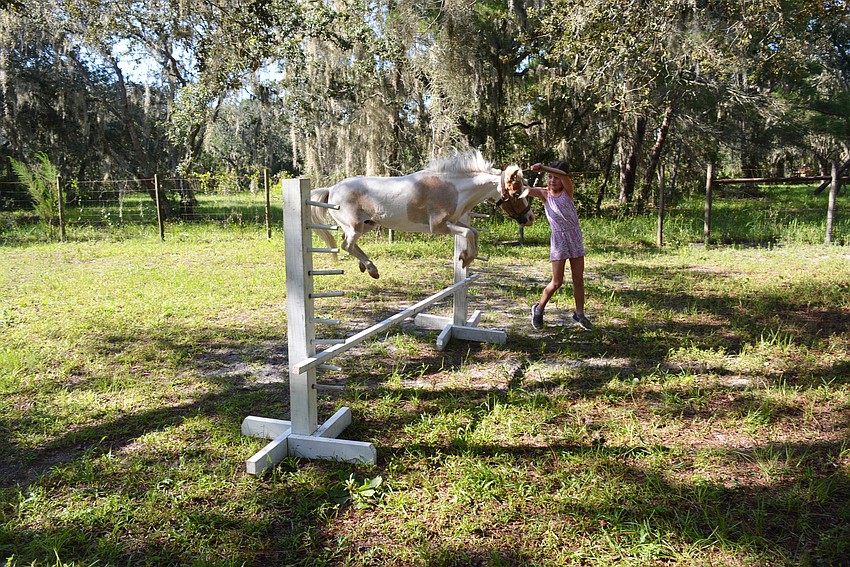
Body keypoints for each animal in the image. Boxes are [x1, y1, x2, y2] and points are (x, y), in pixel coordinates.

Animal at [309, 150, 534, 279]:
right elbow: (470, 233)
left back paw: (365, 266)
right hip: (355, 226)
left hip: (368, 224)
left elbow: (474, 233)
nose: (530, 218)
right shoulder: (439, 226)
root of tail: (332, 188)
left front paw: (466, 258)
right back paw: (372, 269)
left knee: (348, 242)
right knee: (346, 244)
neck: (453, 189)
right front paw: (465, 258)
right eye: (517, 193)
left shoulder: (454, 222)